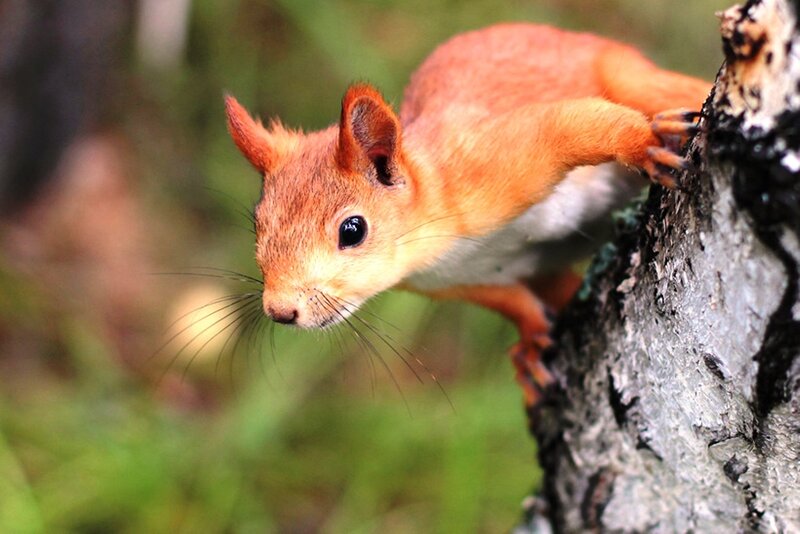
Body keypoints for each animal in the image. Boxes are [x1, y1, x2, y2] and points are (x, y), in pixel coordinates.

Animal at [224, 23, 711, 406]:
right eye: (258, 223)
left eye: (352, 230)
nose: (280, 311)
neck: (441, 249)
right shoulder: (457, 281)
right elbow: (509, 301)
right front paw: (530, 341)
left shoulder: (496, 159)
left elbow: (573, 125)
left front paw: (645, 144)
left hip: (620, 72)